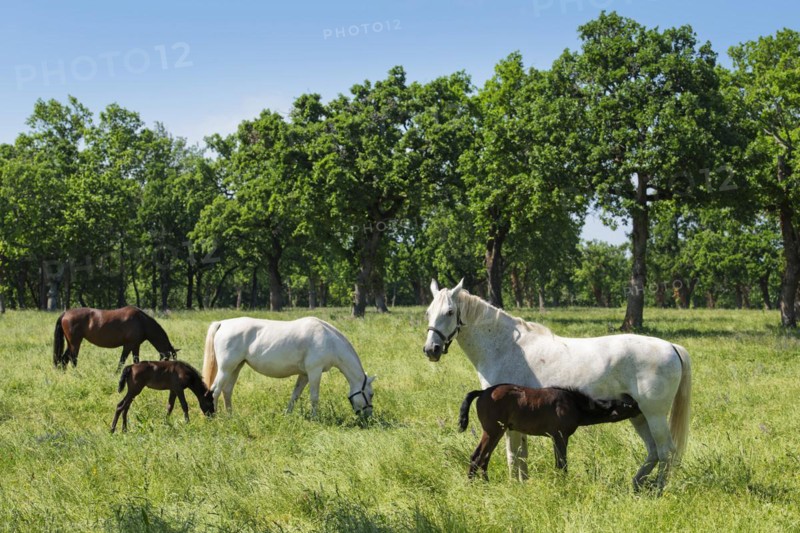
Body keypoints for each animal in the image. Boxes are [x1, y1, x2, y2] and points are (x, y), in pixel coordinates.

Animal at [202, 317, 375, 417]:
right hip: (225, 369)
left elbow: (295, 395)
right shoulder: (314, 371)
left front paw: (287, 414)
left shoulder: (304, 375)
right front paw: (315, 417)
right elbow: (314, 397)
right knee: (215, 390)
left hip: (236, 367)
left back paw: (230, 416)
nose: (368, 415)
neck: (329, 340)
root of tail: (223, 323)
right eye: (371, 394)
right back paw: (215, 417)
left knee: (227, 390)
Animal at [459, 384, 640, 479]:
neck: (574, 404)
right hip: (493, 431)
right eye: (628, 405)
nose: (640, 408)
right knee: (477, 457)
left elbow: (557, 462)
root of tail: (483, 392)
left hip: (497, 432)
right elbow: (562, 462)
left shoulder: (555, 437)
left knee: (484, 458)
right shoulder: (561, 436)